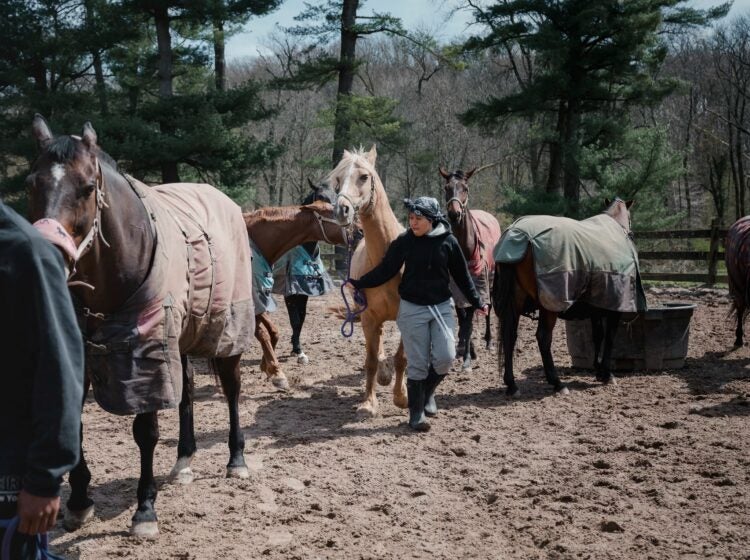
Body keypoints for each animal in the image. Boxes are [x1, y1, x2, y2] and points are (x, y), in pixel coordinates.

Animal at [27, 115, 254, 540]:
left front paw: (145, 510)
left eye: (87, 188)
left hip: (226, 330)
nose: (47, 253)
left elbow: (145, 431)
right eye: (32, 183)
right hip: (180, 337)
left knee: (232, 389)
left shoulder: (147, 353)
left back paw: (237, 460)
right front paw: (78, 503)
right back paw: (183, 461)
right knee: (186, 394)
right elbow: (75, 427)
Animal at [247, 186, 346, 388]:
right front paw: (278, 370)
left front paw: (291, 353)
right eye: (321, 197)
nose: (359, 232)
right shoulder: (286, 293)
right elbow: (284, 324)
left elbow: (294, 322)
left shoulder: (300, 292)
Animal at [332, 147, 408, 418]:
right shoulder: (368, 317)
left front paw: (401, 397)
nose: (341, 210)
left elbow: (402, 358)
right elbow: (371, 360)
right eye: (337, 179)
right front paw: (368, 403)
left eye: (364, 177)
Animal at [444, 166, 502, 372]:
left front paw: (468, 358)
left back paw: (488, 341)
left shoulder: (475, 286)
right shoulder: (456, 289)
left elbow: (469, 321)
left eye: (465, 188)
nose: (454, 214)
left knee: (489, 308)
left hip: (490, 281)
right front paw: (466, 349)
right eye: (446, 188)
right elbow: (462, 319)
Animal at [494, 199, 648, 396]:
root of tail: (516, 235)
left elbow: (597, 336)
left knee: (509, 336)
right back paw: (557, 383)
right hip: (549, 306)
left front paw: (598, 370)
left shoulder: (596, 306)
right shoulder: (615, 306)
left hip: (515, 302)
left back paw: (512, 385)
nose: (632, 234)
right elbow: (610, 337)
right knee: (543, 338)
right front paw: (607, 373)